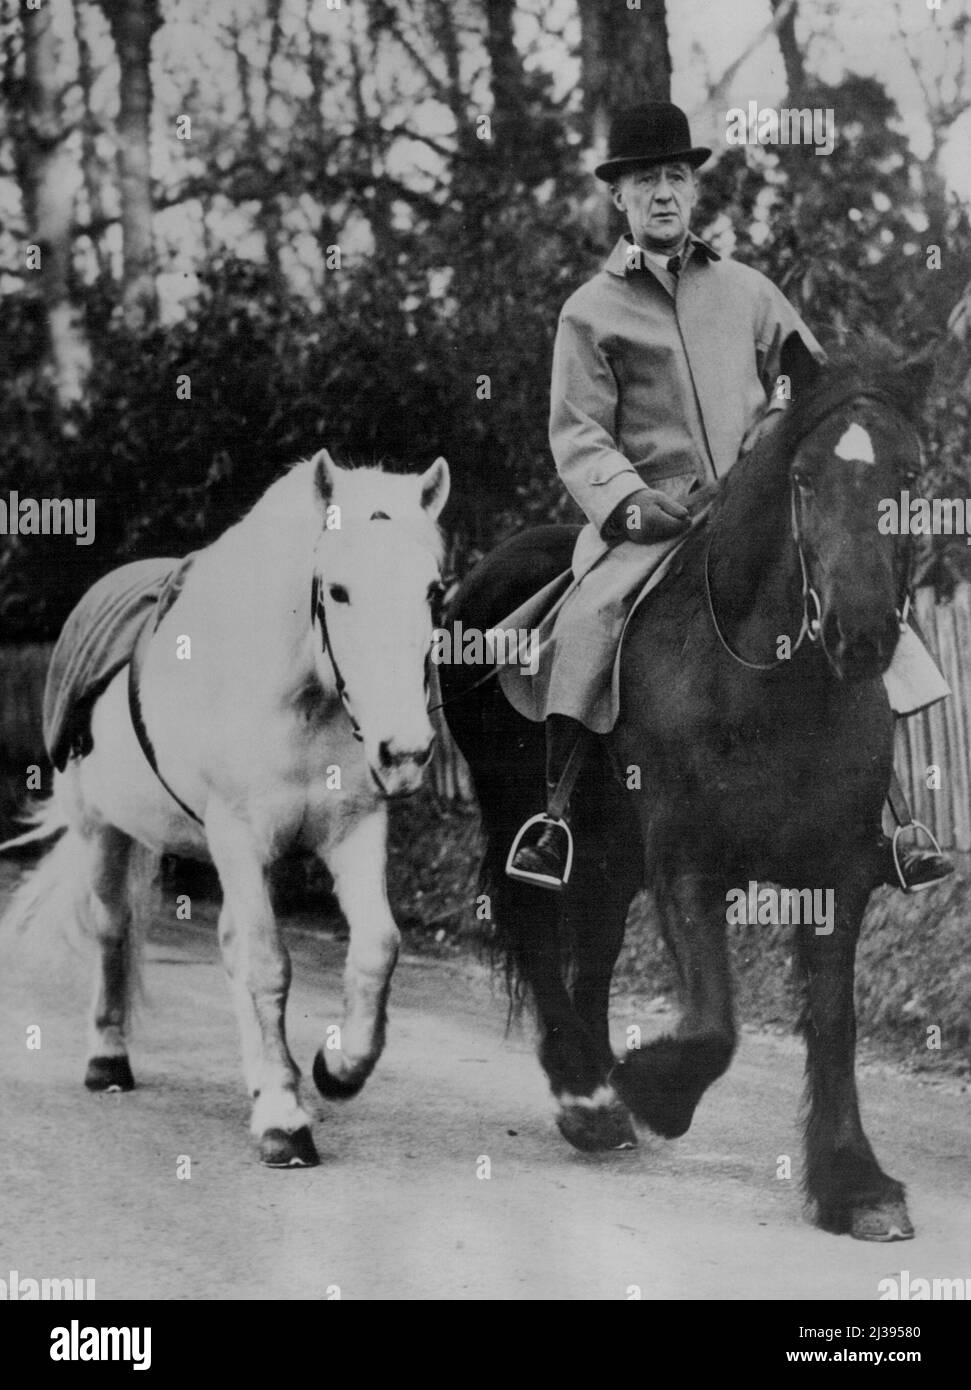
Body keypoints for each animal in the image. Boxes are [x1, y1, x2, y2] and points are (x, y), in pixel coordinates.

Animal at [1, 450, 452, 1167]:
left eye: (433, 592)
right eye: (338, 591)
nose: (405, 751)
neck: (298, 699)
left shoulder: (355, 831)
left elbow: (376, 947)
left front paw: (337, 1070)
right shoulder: (238, 838)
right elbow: (268, 962)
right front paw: (284, 1120)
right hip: (104, 830)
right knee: (112, 928)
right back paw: (108, 1059)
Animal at [447, 333, 933, 1239]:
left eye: (910, 476)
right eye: (801, 478)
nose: (860, 634)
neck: (772, 687)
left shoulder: (838, 875)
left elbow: (835, 1020)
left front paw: (853, 1182)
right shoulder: (686, 864)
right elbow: (713, 1025)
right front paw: (654, 1091)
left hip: (608, 852)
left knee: (594, 946)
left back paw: (596, 1086)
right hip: (520, 817)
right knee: (535, 928)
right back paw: (587, 1095)